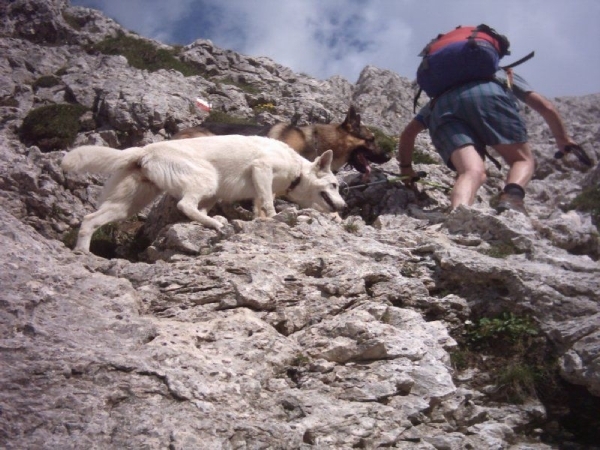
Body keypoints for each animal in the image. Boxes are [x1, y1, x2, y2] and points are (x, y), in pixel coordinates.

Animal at [61, 134, 346, 253]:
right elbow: (268, 204)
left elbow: (259, 207)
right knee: (185, 205)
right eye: (334, 185)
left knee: (90, 220)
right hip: (208, 178)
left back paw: (83, 253)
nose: (343, 207)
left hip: (126, 205)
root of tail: (145, 151)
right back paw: (216, 224)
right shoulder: (261, 169)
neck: (297, 169)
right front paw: (276, 219)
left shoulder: (250, 187)